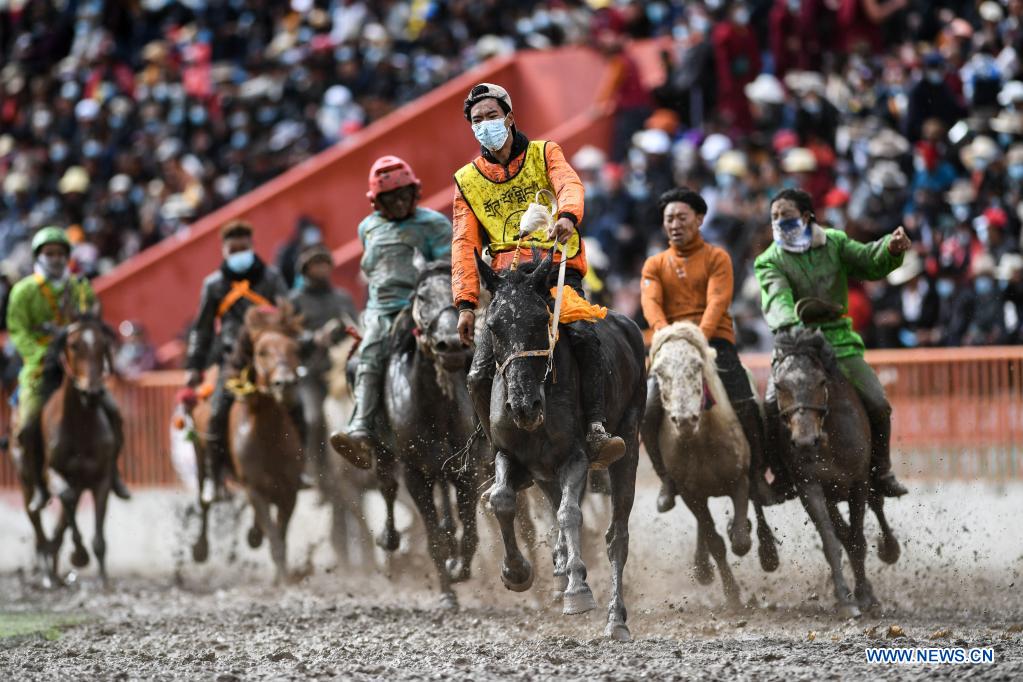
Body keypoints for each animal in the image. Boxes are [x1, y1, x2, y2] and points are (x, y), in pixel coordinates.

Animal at [190, 303, 305, 583]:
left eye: (295, 349)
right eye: (262, 351)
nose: (286, 384)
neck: (269, 436)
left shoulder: (290, 491)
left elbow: (280, 535)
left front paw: (282, 576)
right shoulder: (254, 489)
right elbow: (275, 538)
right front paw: (282, 580)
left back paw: (253, 534)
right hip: (199, 455)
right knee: (203, 500)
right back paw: (200, 548)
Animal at [370, 262, 485, 609]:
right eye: (420, 297)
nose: (451, 344)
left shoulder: (467, 469)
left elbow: (469, 531)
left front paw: (459, 567)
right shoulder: (416, 473)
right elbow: (434, 537)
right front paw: (447, 593)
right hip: (385, 452)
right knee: (387, 486)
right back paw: (389, 537)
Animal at [474, 250, 647, 641]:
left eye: (542, 320)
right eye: (493, 326)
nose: (524, 406)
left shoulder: (576, 456)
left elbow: (571, 514)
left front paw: (578, 590)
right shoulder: (510, 455)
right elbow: (503, 500)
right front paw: (516, 571)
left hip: (628, 441)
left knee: (617, 535)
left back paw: (615, 618)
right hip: (543, 472)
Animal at [647, 322, 779, 608]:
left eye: (697, 366)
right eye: (660, 372)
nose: (685, 420)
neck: (700, 441)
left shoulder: (739, 480)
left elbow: (740, 540)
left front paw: (740, 531)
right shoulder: (690, 493)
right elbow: (714, 540)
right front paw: (732, 595)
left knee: (757, 499)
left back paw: (768, 553)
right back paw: (702, 567)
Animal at [769, 327, 900, 618]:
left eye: (820, 382)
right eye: (779, 385)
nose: (805, 442)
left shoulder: (858, 482)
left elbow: (858, 539)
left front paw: (864, 596)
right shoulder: (811, 487)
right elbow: (832, 541)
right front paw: (846, 599)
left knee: (878, 503)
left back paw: (890, 548)